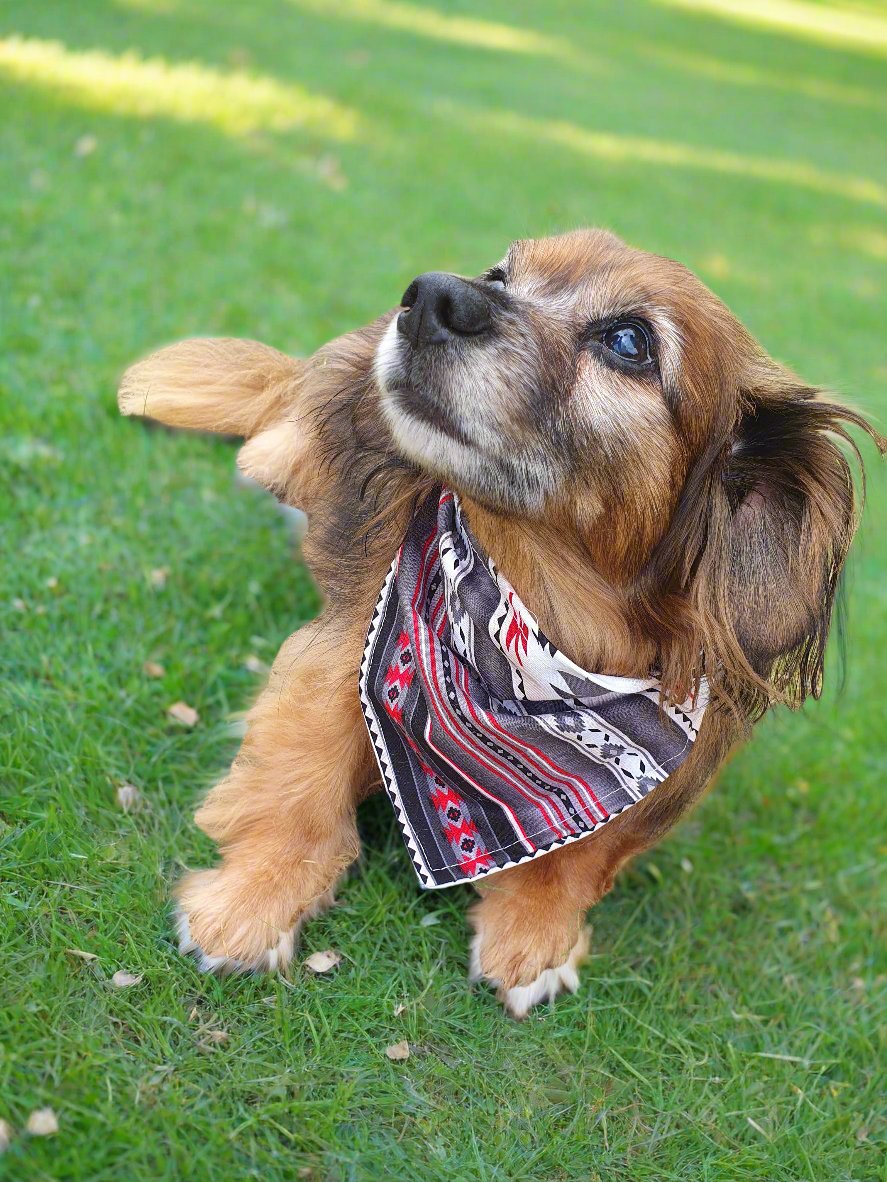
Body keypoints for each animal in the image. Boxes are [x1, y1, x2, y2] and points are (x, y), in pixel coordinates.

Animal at [120, 228, 887, 1016]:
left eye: (629, 341)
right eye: (499, 275)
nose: (431, 293)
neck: (540, 622)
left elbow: (582, 856)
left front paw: (535, 931)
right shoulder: (345, 643)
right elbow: (301, 776)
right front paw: (252, 900)